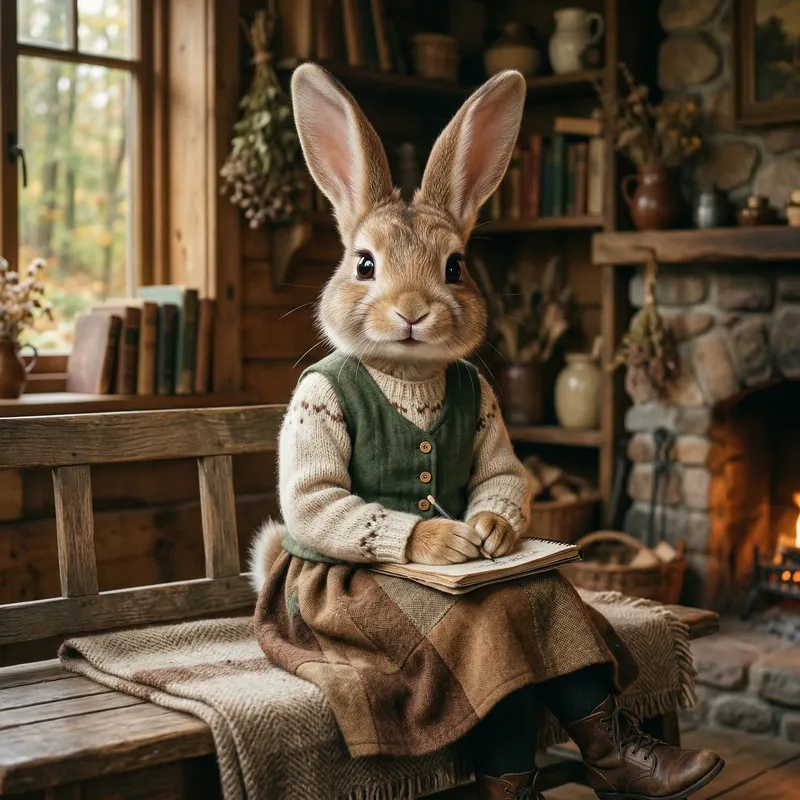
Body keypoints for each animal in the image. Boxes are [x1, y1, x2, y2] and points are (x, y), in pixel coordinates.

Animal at [249, 63, 528, 591]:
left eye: (455, 267)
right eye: (364, 264)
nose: (412, 311)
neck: (407, 375)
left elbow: (501, 477)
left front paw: (491, 532)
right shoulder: (316, 403)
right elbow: (319, 498)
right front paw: (445, 540)